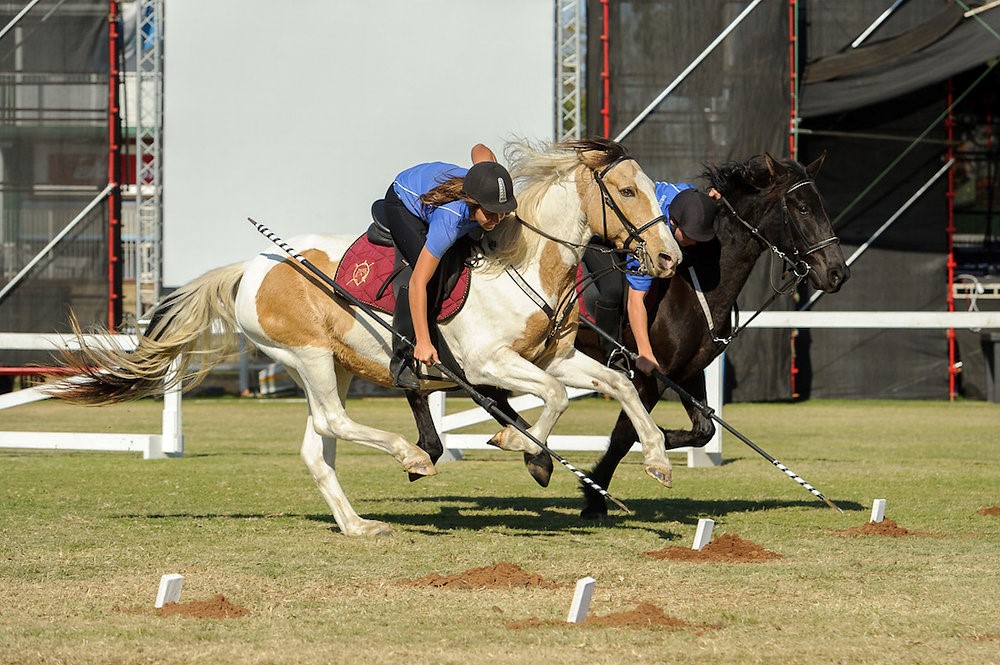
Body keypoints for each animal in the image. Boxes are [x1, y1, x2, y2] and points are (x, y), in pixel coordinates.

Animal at [50, 137, 684, 536]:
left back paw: (357, 525)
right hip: (306, 356)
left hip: (337, 363)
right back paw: (413, 455)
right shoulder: (488, 364)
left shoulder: (553, 357)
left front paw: (657, 459)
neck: (522, 264)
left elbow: (619, 385)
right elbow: (551, 399)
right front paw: (521, 446)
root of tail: (251, 267)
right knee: (333, 422)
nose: (669, 259)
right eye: (627, 193)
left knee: (317, 446)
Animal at [572, 152, 852, 520]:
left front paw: (664, 437)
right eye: (803, 209)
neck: (692, 283)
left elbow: (704, 430)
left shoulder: (686, 372)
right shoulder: (648, 376)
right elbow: (623, 435)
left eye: (822, 207)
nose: (837, 273)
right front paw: (594, 499)